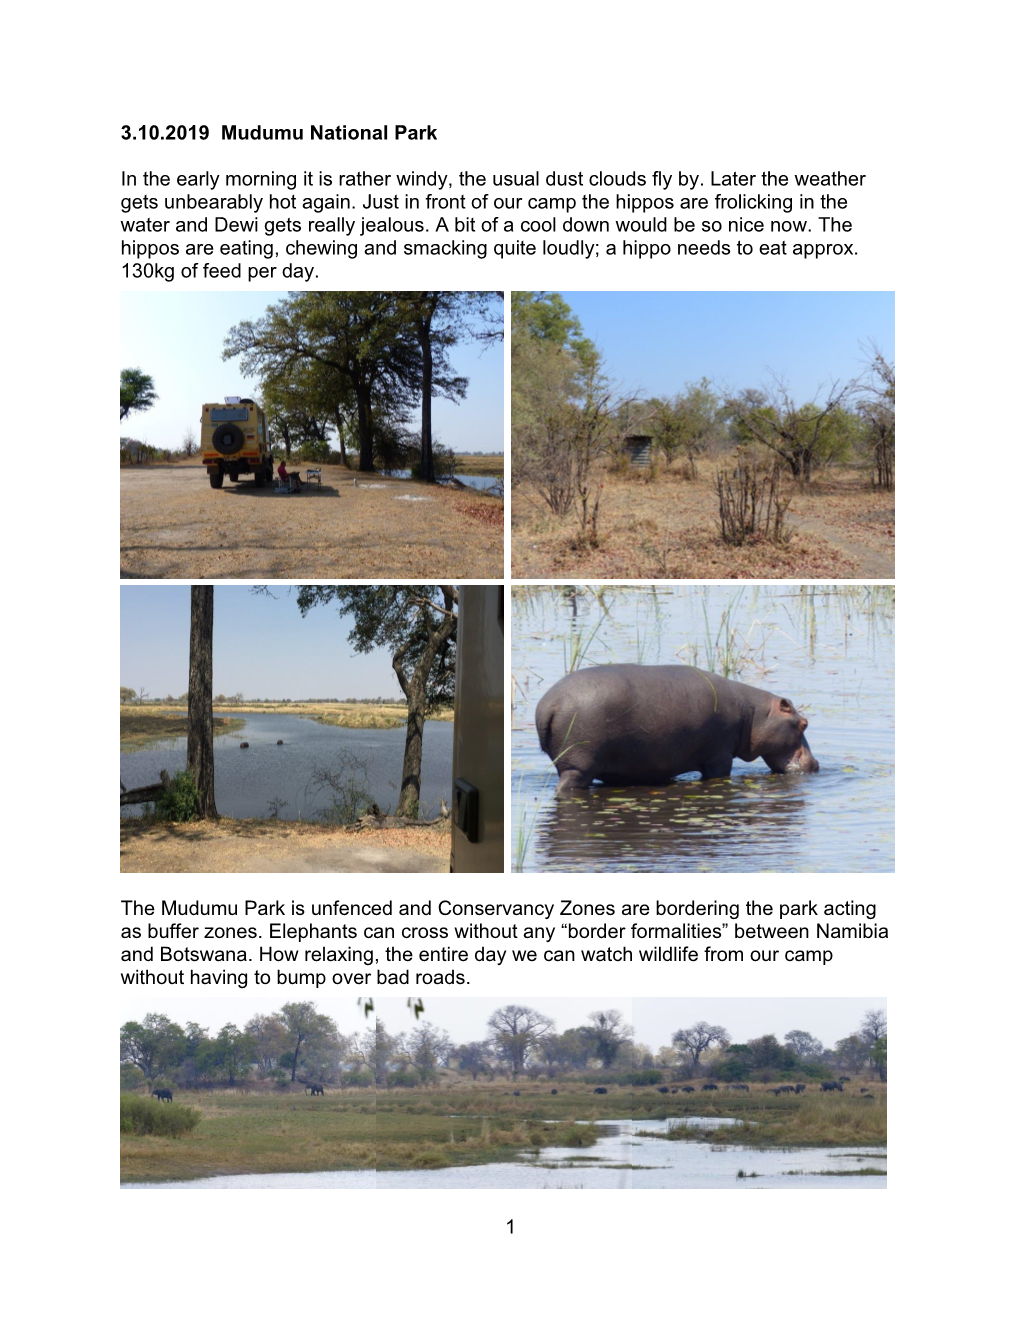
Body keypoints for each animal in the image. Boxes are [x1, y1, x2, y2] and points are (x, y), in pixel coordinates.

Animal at [533, 665, 818, 786]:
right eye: (804, 724)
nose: (816, 764)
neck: (753, 713)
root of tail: (549, 705)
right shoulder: (719, 757)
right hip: (578, 766)